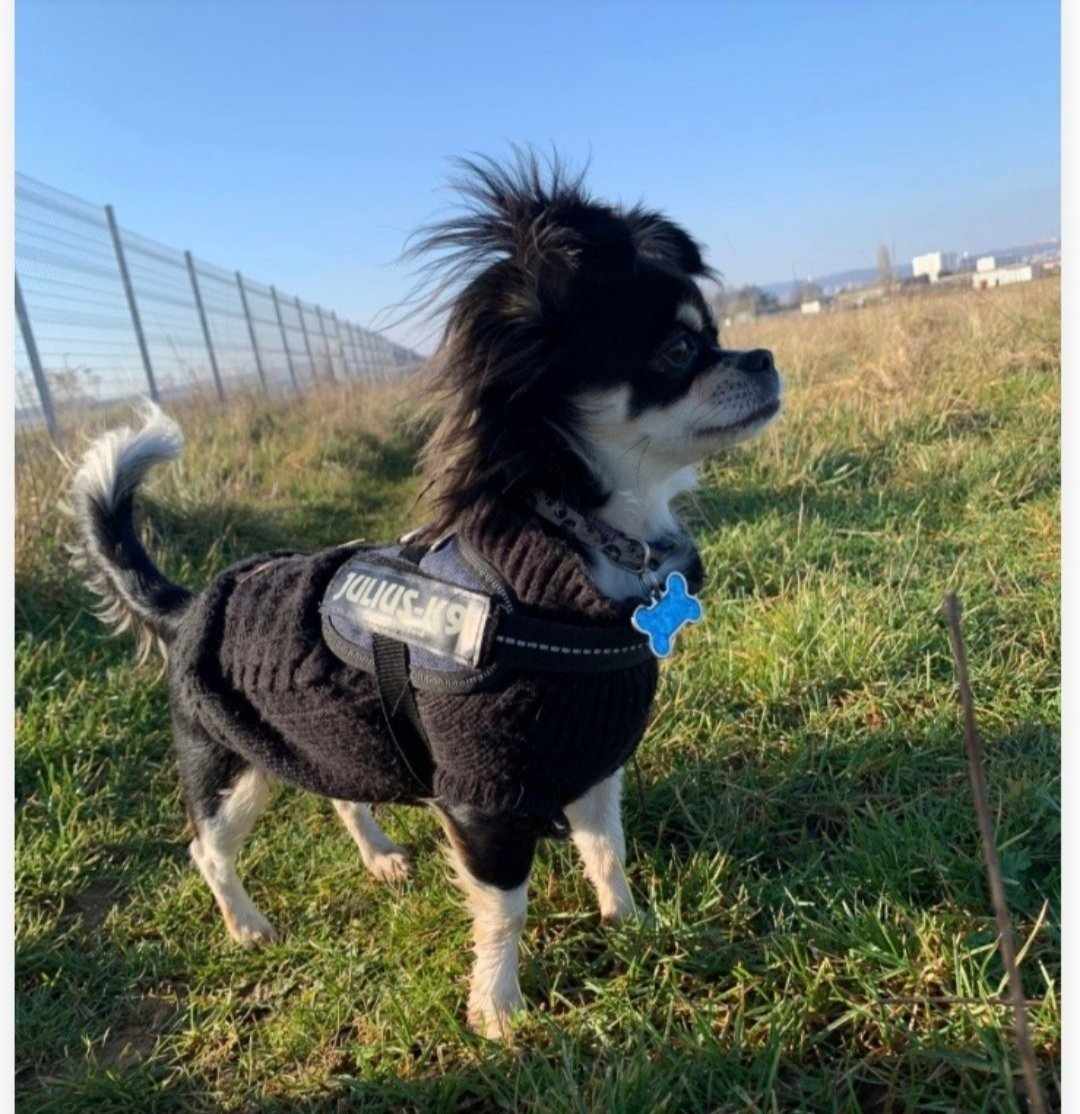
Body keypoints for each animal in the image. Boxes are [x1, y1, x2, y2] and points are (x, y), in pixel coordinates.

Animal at [70, 151, 781, 1040]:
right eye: (682, 348)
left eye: (716, 336)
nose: (764, 357)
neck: (571, 550)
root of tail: (192, 602)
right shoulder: (484, 801)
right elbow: (505, 908)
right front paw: (499, 1010)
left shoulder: (595, 764)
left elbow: (606, 851)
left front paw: (631, 926)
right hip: (228, 767)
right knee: (208, 848)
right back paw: (247, 925)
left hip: (322, 738)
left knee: (339, 796)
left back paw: (376, 856)